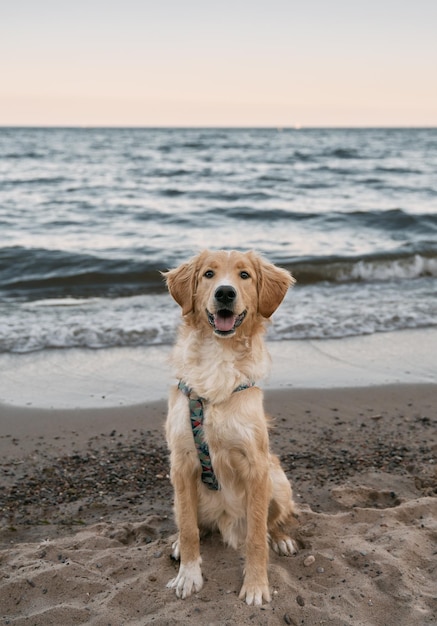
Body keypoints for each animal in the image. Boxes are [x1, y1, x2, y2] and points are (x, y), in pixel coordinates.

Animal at [163, 250, 296, 604]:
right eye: (209, 274)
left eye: (244, 275)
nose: (225, 293)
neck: (218, 357)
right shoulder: (182, 463)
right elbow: (189, 528)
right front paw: (188, 575)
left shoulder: (256, 465)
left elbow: (256, 537)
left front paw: (256, 585)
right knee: (192, 523)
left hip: (278, 481)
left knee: (272, 522)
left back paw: (281, 538)